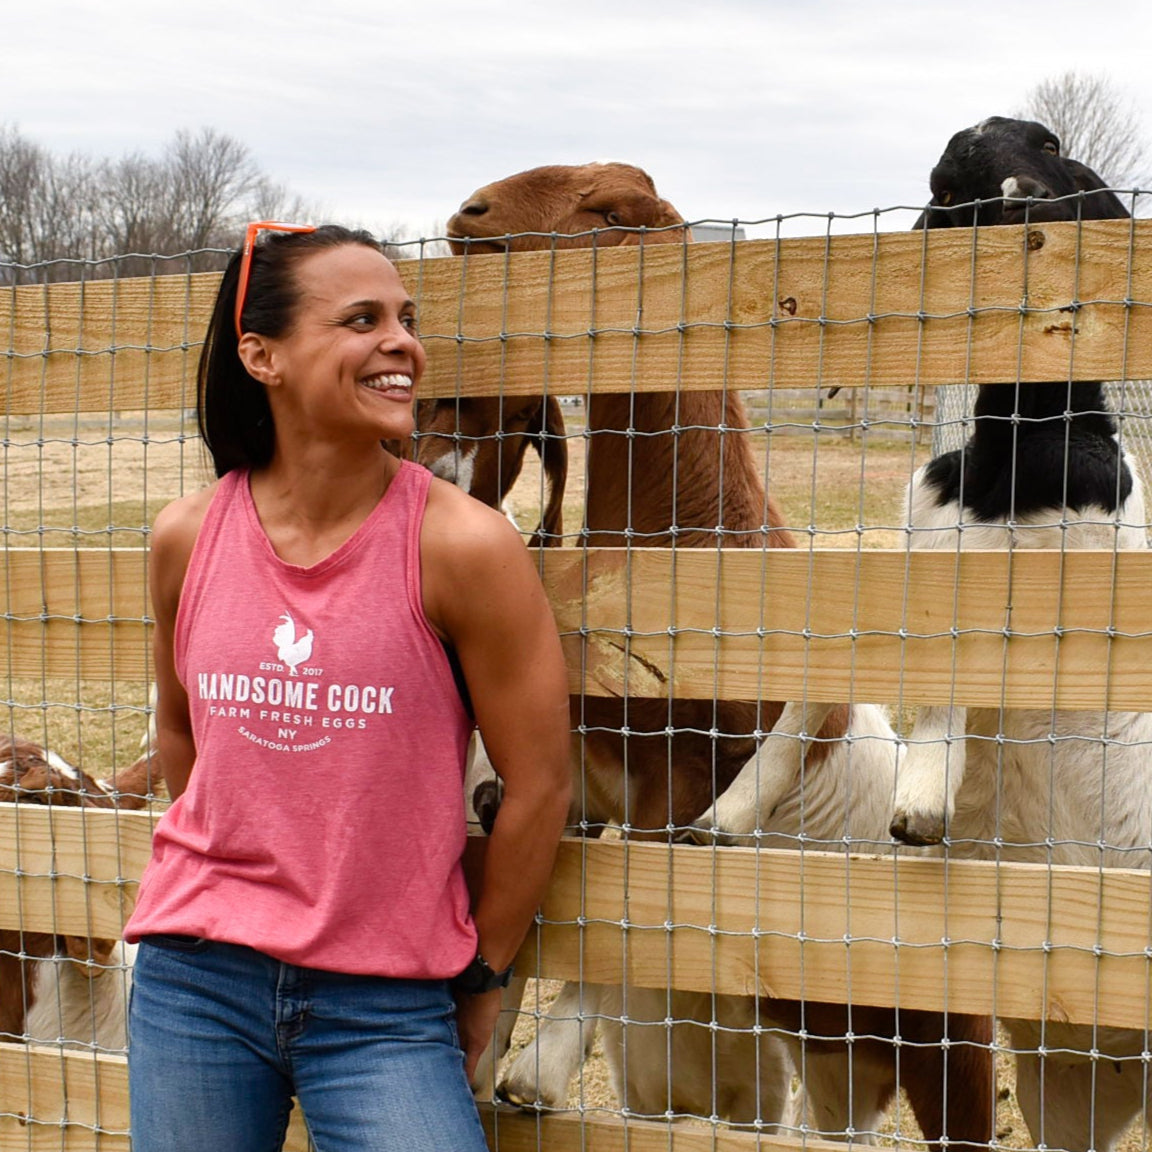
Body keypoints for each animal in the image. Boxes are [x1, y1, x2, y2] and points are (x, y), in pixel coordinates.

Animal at [419, 164, 995, 1152]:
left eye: (609, 212)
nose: (471, 214)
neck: (688, 538)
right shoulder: (577, 784)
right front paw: (487, 1060)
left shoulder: (679, 783)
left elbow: (642, 904)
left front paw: (538, 1071)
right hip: (838, 1058)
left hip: (952, 1049)